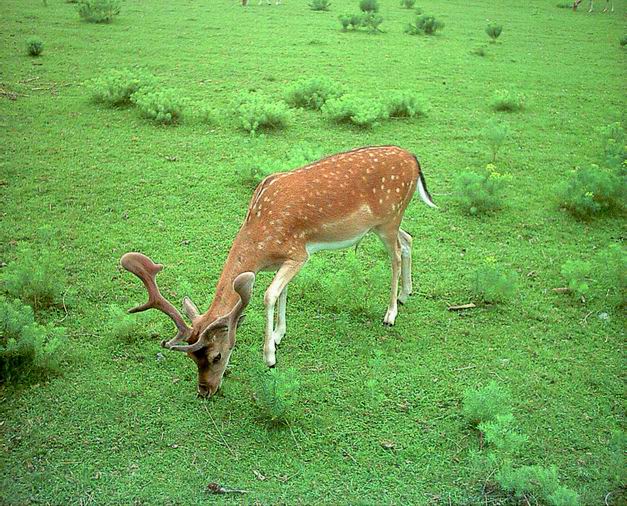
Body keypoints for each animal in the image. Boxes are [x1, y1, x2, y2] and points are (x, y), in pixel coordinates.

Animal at [121, 144, 436, 398]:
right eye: (192, 360)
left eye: (217, 356)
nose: (204, 391)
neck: (261, 245)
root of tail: (413, 158)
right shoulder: (285, 260)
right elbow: (283, 292)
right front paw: (278, 335)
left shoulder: (298, 254)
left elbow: (269, 295)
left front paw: (269, 355)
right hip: (386, 224)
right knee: (408, 240)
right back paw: (406, 294)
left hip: (389, 218)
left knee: (396, 255)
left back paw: (390, 314)